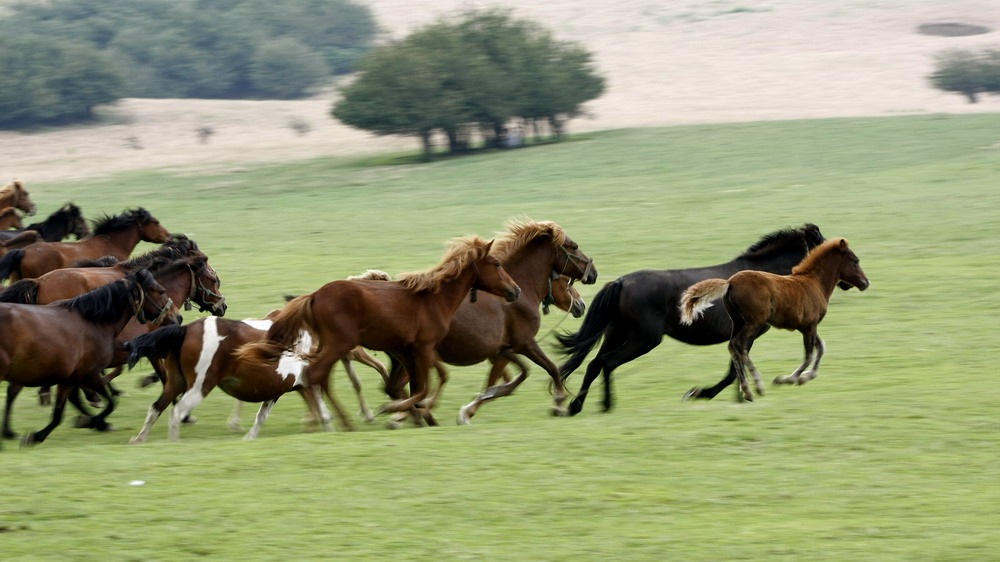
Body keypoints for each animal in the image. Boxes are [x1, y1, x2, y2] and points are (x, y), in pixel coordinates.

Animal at [0, 268, 182, 446]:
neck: (94, 322)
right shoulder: (90, 374)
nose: (177, 317)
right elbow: (111, 403)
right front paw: (96, 421)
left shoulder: (69, 379)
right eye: (161, 291)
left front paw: (37, 436)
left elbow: (58, 414)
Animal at [237, 235, 520, 424]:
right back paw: (340, 422)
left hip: (332, 346)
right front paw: (394, 410)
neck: (434, 300)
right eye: (496, 263)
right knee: (315, 374)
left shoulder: (408, 352)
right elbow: (425, 386)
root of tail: (314, 295)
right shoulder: (423, 349)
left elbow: (419, 384)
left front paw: (412, 414)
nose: (515, 290)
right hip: (340, 344)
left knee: (319, 377)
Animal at [556, 222, 828, 412]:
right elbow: (734, 369)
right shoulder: (749, 332)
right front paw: (704, 393)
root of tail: (621, 282)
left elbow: (735, 366)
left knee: (594, 363)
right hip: (643, 339)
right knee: (608, 363)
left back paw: (575, 407)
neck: (766, 276)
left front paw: (738, 395)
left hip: (616, 334)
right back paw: (605, 405)